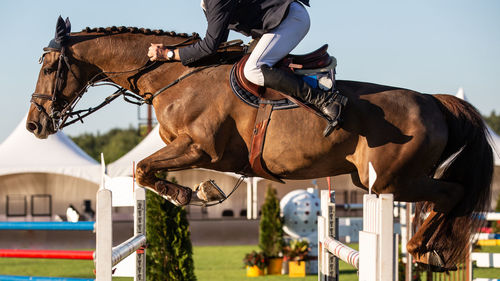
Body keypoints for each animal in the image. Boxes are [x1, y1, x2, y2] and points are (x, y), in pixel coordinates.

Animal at [26, 16, 492, 270]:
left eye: (49, 67)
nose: (34, 126)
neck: (175, 78)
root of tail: (433, 100)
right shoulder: (190, 150)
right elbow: (145, 171)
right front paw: (200, 191)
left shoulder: (200, 149)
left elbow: (143, 169)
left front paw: (191, 193)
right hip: (376, 181)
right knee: (448, 195)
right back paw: (428, 249)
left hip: (393, 180)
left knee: (452, 193)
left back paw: (422, 249)